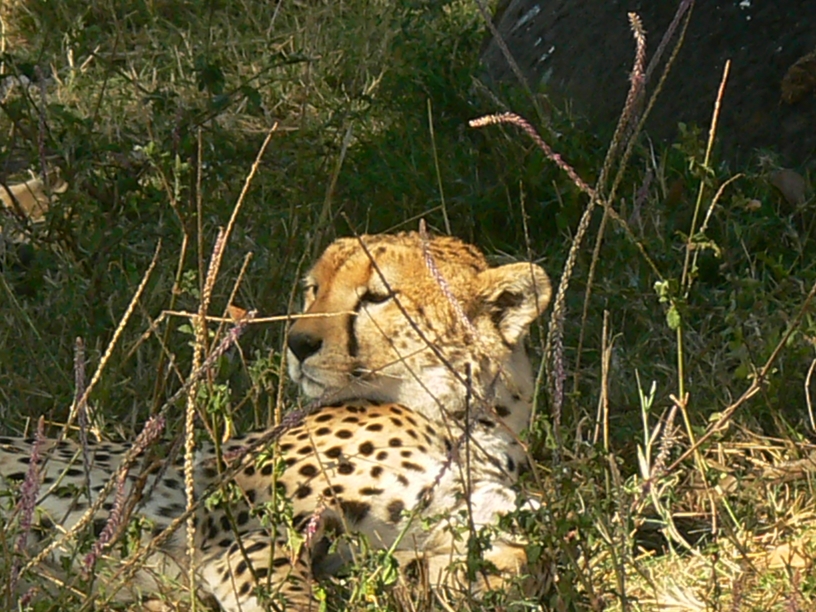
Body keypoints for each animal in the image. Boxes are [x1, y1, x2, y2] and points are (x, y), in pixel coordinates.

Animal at [0, 231, 551, 611]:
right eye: (313, 289)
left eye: (378, 296)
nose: (298, 342)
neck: (465, 423)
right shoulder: (237, 526)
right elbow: (289, 594)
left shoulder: (479, 519)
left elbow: (522, 555)